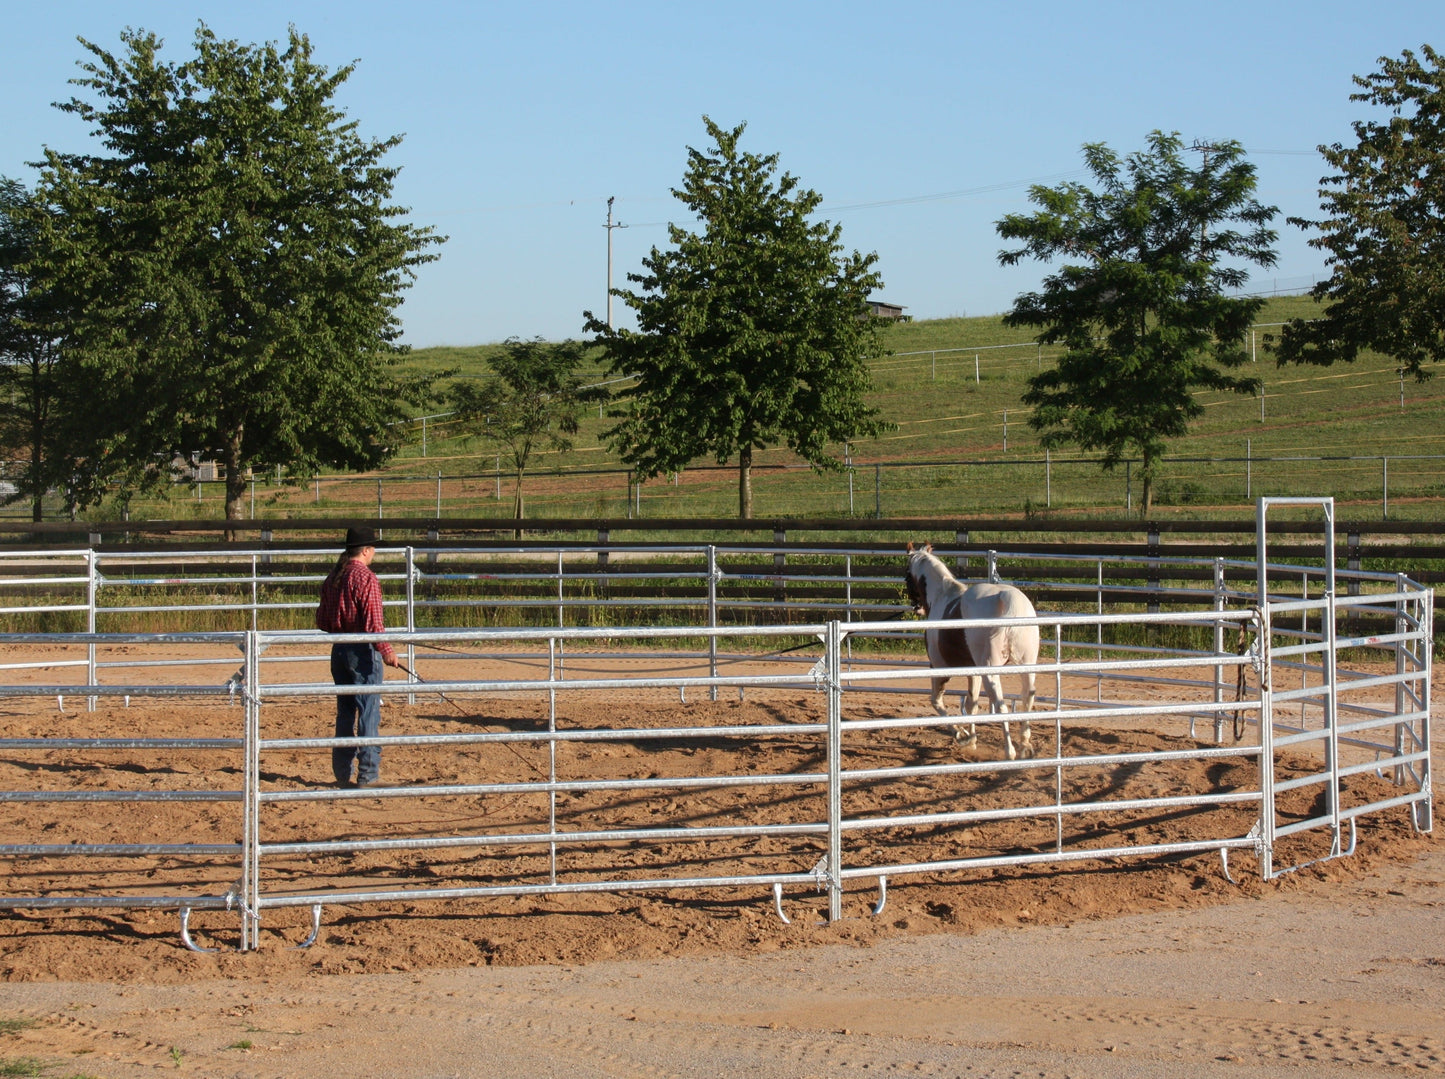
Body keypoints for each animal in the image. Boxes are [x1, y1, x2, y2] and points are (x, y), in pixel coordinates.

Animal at [901, 540, 1040, 756]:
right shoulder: (972, 670)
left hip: (990, 671)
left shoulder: (939, 667)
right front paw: (971, 739)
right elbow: (971, 703)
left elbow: (936, 701)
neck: (942, 596)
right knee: (1027, 699)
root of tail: (1009, 602)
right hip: (1027, 666)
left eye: (907, 574)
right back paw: (1025, 745)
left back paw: (1010, 751)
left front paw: (961, 734)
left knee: (1001, 706)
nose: (916, 606)